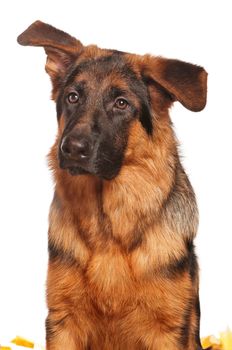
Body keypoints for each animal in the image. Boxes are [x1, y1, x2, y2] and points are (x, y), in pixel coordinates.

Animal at [17, 20, 208, 348]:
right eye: (73, 96)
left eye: (121, 103)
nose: (71, 149)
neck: (108, 225)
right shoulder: (63, 323)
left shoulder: (169, 330)